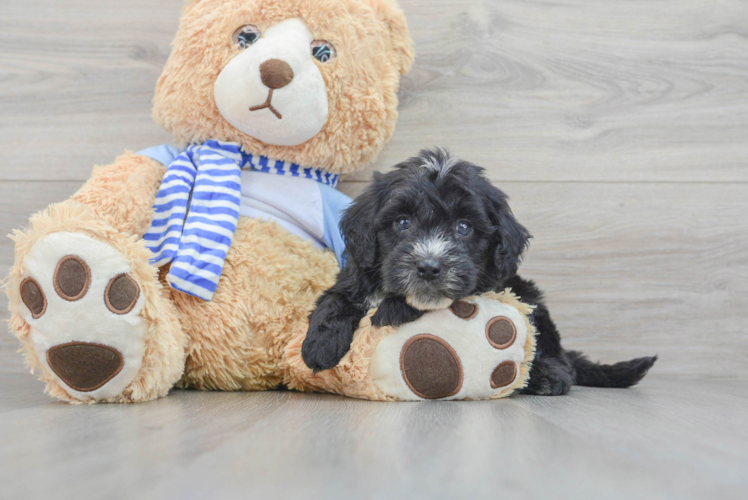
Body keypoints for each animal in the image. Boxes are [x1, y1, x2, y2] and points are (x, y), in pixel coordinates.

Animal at [302, 148, 656, 394]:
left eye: (464, 227)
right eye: (402, 222)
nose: (428, 267)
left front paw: (391, 309)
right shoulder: (357, 271)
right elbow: (335, 298)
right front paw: (319, 345)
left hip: (530, 298)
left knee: (557, 356)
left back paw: (547, 376)